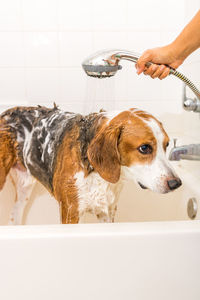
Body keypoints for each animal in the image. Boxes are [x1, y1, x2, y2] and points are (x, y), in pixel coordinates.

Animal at [0, 105, 181, 225]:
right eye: (144, 148)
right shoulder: (71, 213)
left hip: (24, 188)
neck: (97, 173)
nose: (176, 183)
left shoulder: (107, 212)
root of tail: (5, 113)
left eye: (166, 145)